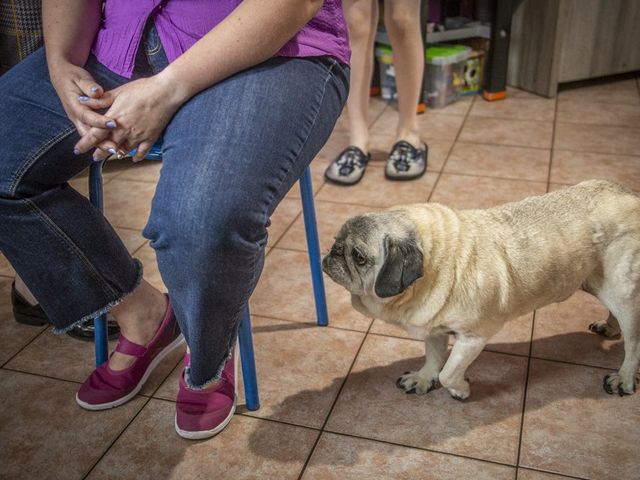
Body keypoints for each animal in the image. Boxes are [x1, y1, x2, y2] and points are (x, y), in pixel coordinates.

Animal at [324, 180, 640, 402]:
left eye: (358, 256)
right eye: (336, 241)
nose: (332, 252)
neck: (436, 262)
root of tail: (630, 196)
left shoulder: (472, 338)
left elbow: (449, 372)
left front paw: (460, 390)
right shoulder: (435, 330)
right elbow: (434, 358)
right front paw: (424, 378)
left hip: (622, 292)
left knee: (633, 342)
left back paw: (624, 378)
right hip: (596, 283)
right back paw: (610, 328)